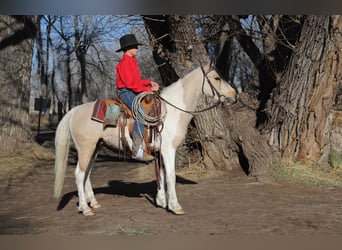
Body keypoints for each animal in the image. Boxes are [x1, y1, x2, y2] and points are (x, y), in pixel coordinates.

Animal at [54, 63, 238, 217]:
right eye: (217, 78)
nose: (234, 95)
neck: (171, 111)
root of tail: (75, 110)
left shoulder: (160, 152)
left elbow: (162, 175)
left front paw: (162, 202)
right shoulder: (168, 150)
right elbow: (171, 176)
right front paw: (175, 206)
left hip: (95, 149)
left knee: (87, 174)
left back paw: (92, 202)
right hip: (86, 149)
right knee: (79, 174)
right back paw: (85, 209)